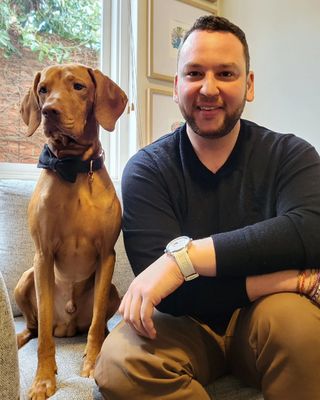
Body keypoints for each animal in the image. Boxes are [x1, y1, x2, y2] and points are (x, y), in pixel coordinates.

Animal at [14, 64, 127, 398]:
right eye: (43, 90)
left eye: (78, 86)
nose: (49, 111)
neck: (73, 169)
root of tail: (68, 325)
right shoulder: (42, 255)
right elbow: (43, 338)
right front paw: (43, 379)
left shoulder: (106, 255)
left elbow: (96, 323)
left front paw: (92, 360)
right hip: (26, 279)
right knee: (35, 327)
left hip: (112, 290)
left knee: (94, 322)